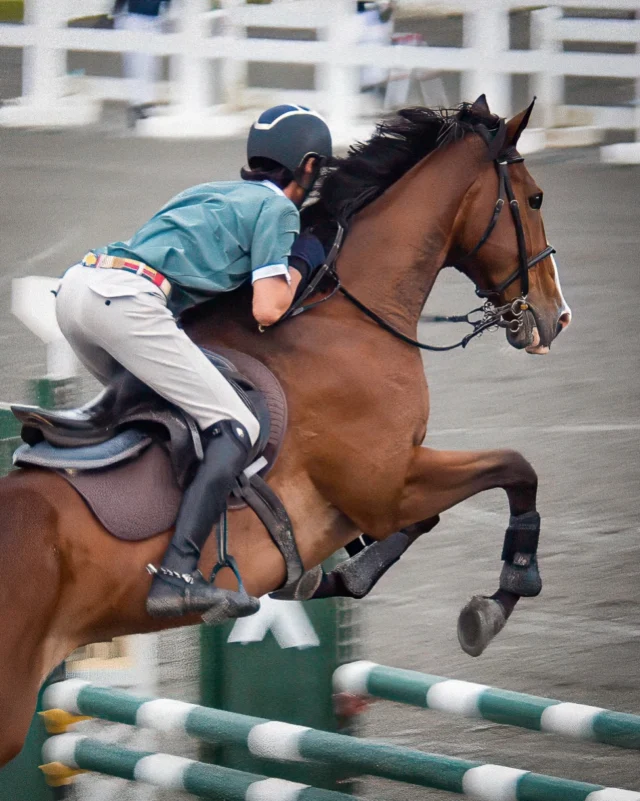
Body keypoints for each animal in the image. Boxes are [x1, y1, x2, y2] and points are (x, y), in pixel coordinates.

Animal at [0, 95, 571, 768]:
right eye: (534, 199)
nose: (556, 317)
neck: (346, 314)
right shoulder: (389, 483)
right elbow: (515, 468)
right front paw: (501, 598)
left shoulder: (382, 489)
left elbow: (429, 517)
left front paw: (341, 575)